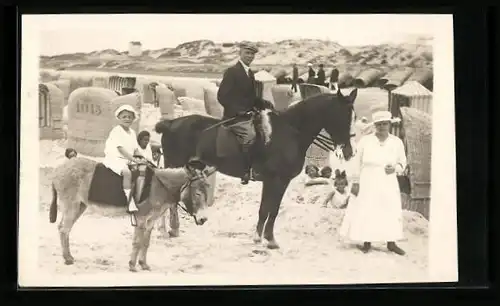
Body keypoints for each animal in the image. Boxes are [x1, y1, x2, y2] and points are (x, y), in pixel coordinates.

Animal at [154, 86, 358, 249]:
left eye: (353, 116)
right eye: (341, 115)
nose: (349, 151)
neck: (289, 133)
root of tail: (170, 123)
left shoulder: (275, 182)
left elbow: (269, 209)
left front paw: (264, 238)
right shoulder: (276, 180)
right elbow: (269, 209)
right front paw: (265, 239)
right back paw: (168, 230)